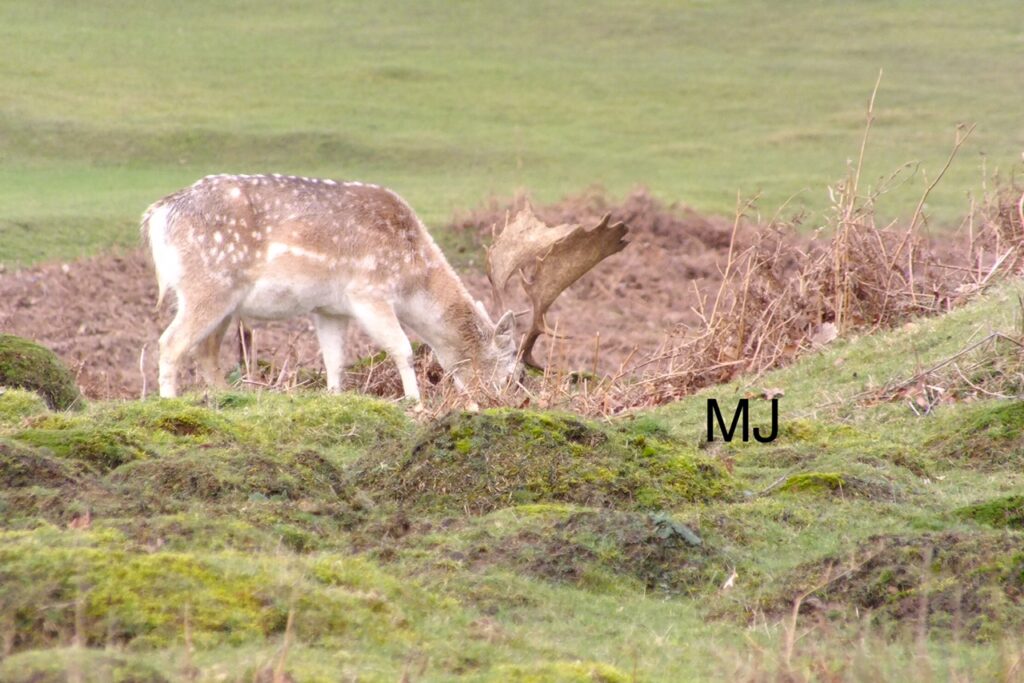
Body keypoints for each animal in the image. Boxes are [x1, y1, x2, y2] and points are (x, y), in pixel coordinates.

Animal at [142, 173, 628, 403]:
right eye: (514, 373)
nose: (507, 401)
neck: (413, 275)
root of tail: (157, 215)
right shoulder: (369, 292)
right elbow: (404, 349)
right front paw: (414, 401)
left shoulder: (330, 308)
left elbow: (335, 361)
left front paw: (336, 396)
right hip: (209, 284)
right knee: (170, 342)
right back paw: (170, 401)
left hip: (225, 302)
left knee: (205, 351)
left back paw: (226, 398)